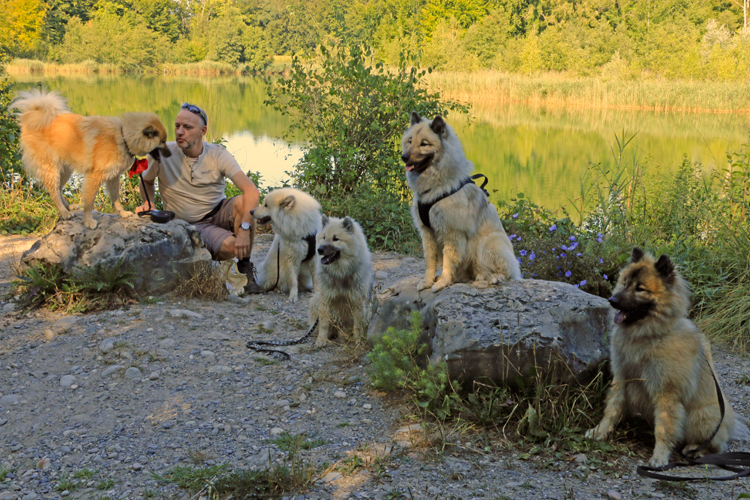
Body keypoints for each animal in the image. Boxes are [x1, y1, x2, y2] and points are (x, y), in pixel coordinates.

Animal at [14, 89, 170, 229]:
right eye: (162, 141)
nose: (170, 154)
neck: (123, 137)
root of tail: (33, 114)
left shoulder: (113, 176)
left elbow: (116, 198)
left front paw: (122, 213)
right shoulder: (94, 177)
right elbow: (89, 203)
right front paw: (88, 221)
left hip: (65, 170)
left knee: (58, 189)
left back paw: (68, 207)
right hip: (51, 168)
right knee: (53, 192)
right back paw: (64, 212)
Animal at [308, 215, 374, 348]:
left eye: (335, 239)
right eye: (324, 237)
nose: (319, 249)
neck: (340, 273)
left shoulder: (358, 302)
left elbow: (358, 326)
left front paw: (358, 342)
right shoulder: (325, 299)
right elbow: (324, 322)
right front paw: (321, 340)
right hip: (315, 299)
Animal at [402, 112, 520, 292]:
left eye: (424, 143)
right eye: (409, 141)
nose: (404, 157)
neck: (436, 187)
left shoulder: (452, 233)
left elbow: (448, 261)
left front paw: (443, 282)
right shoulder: (428, 233)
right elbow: (430, 261)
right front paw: (428, 281)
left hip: (487, 243)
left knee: (505, 270)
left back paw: (495, 277)